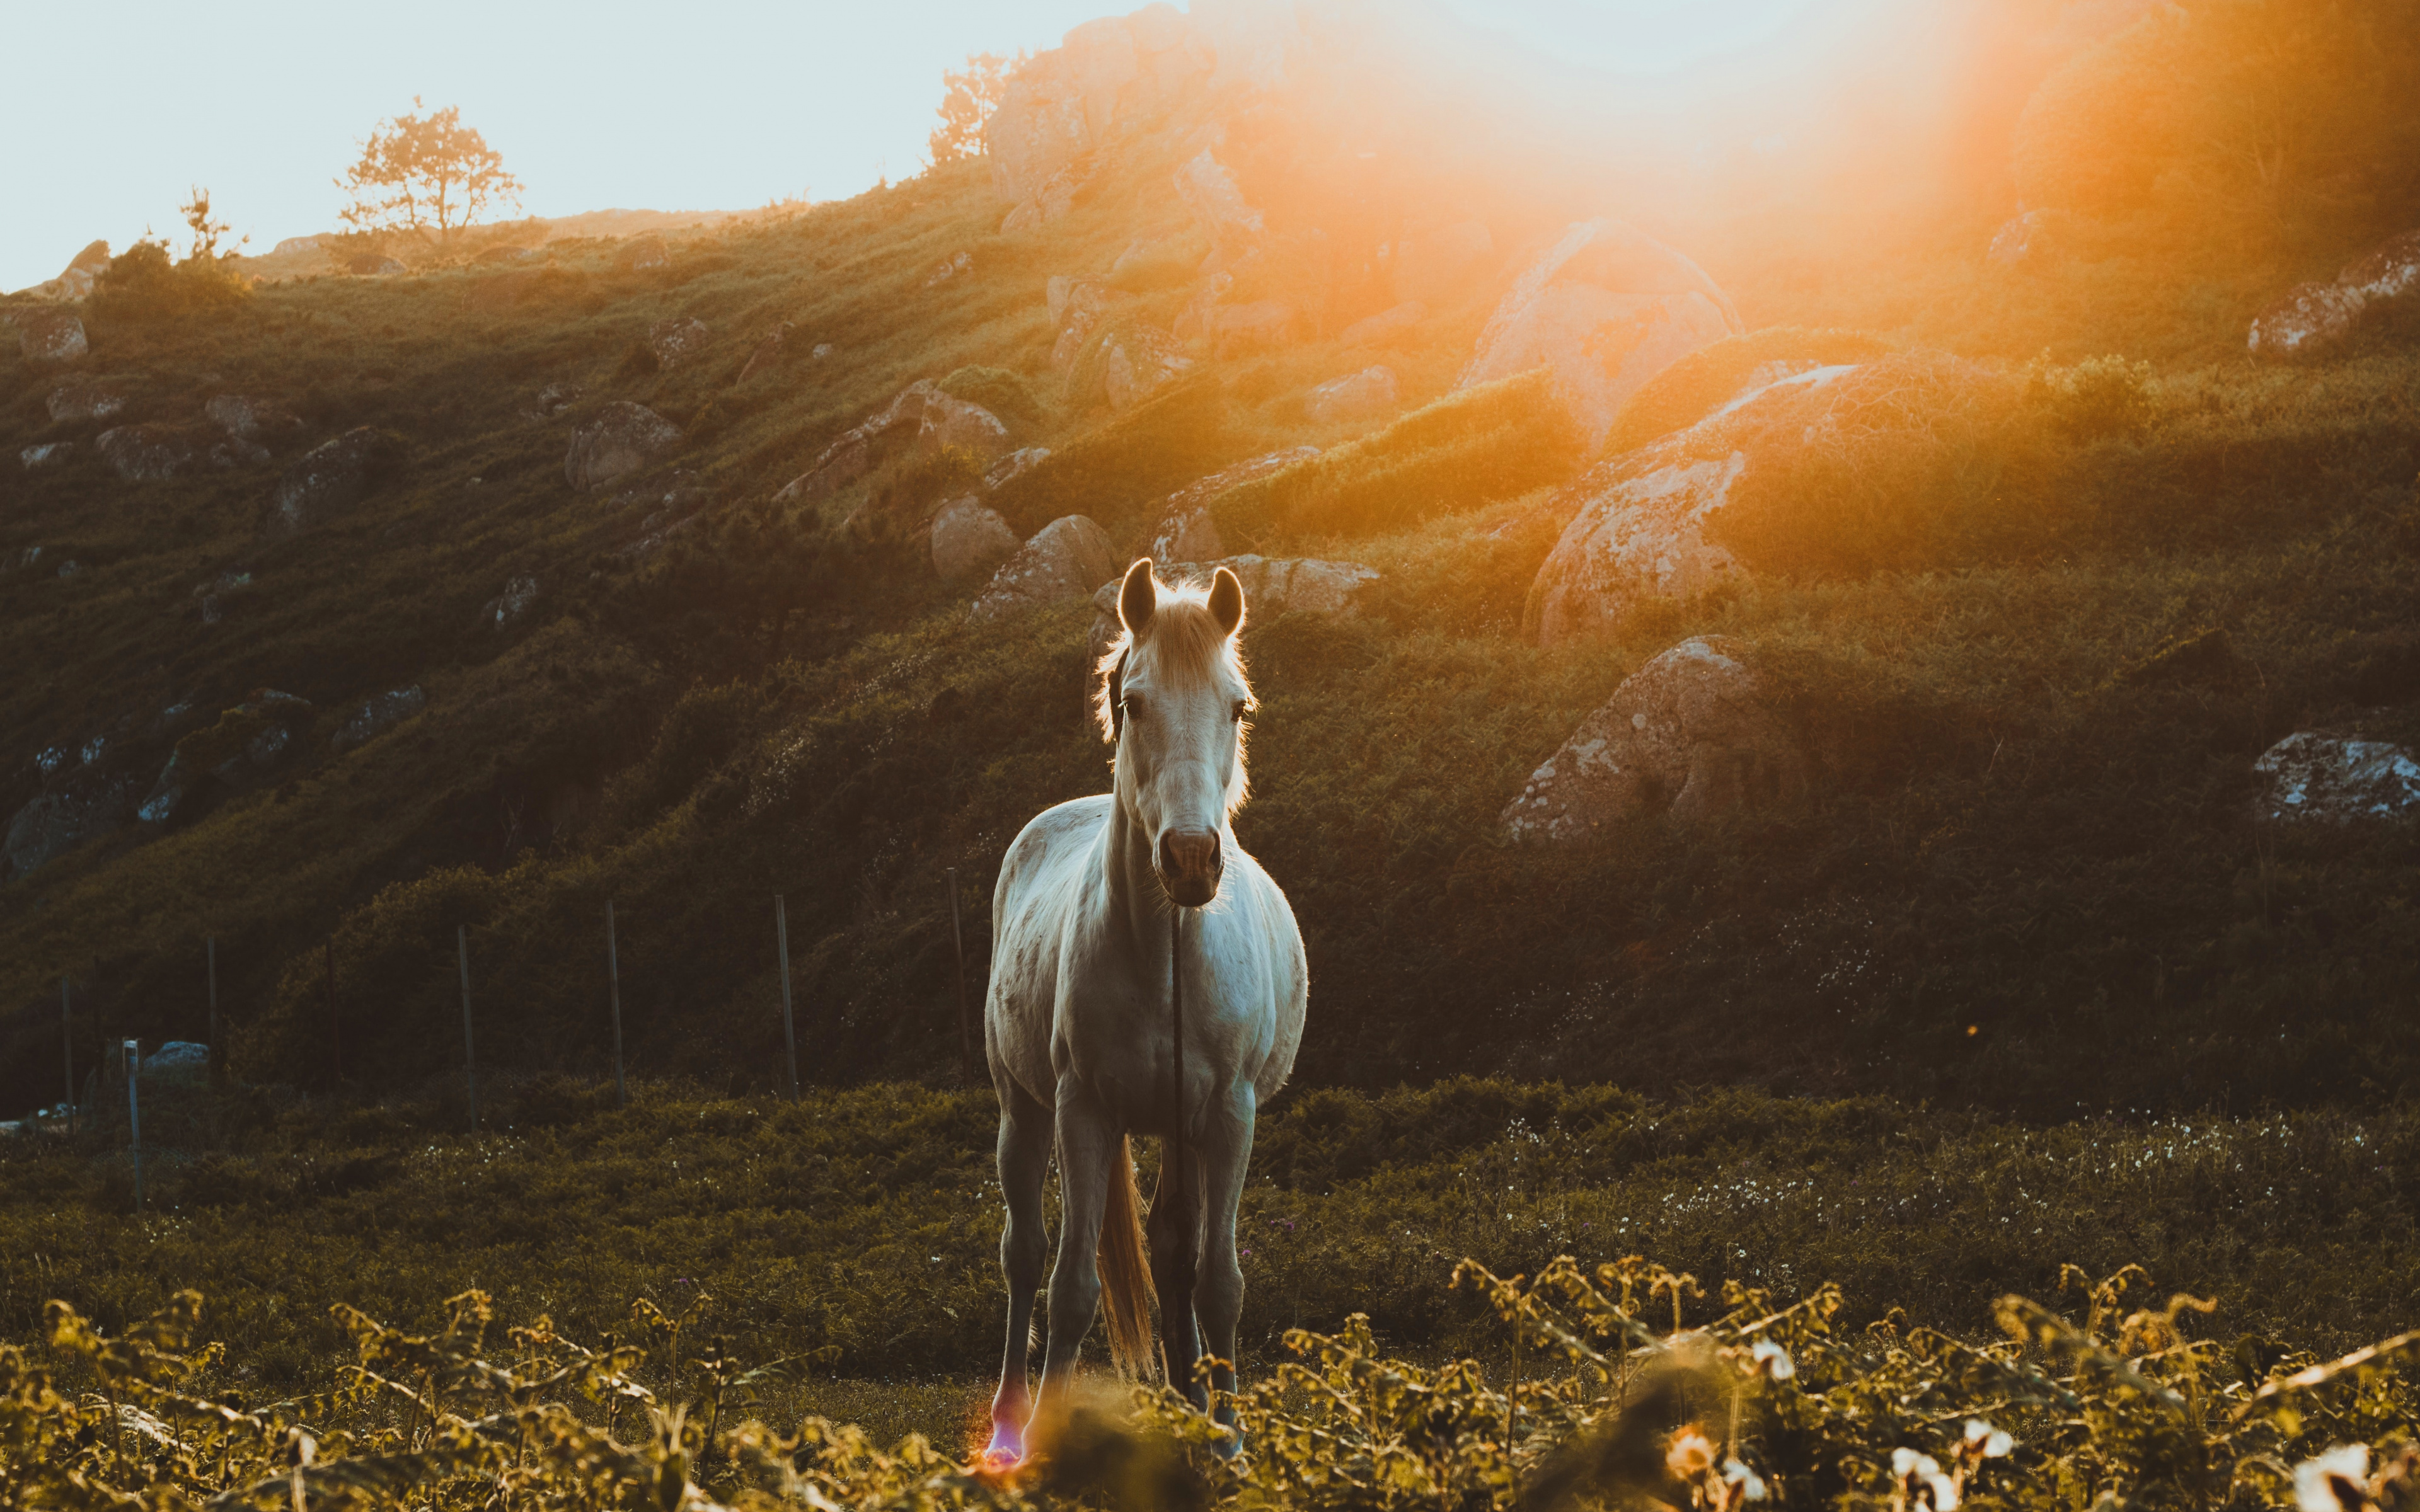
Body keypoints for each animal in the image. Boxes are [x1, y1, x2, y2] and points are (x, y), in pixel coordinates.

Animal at [980, 558, 1308, 1467]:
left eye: (1238, 706)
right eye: (1134, 703)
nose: (1192, 859)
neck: (1166, 956)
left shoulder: (1227, 1117)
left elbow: (1217, 1282)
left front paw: (1229, 1444)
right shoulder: (1083, 1112)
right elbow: (1071, 1287)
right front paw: (1045, 1445)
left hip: (1178, 1129)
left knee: (1171, 1255)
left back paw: (1192, 1410)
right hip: (1023, 1112)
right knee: (1024, 1257)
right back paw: (1009, 1424)